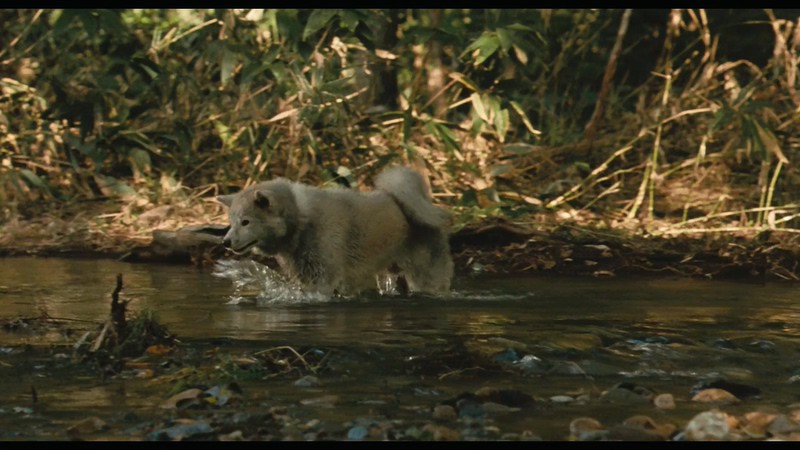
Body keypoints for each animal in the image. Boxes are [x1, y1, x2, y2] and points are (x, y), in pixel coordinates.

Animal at [219, 167, 454, 298]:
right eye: (231, 222)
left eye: (245, 222)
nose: (225, 242)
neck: (301, 220)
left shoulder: (324, 278)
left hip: (424, 276)